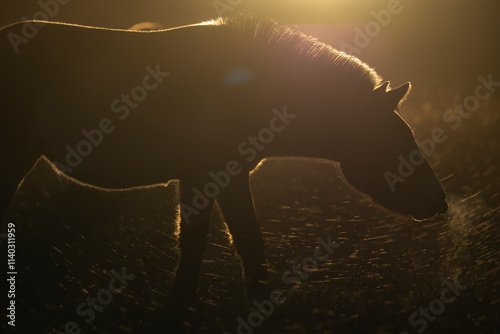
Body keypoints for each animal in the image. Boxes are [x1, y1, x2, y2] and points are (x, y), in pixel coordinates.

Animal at [0, 15, 446, 308]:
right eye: (395, 140)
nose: (438, 202)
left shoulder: (202, 180)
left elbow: (201, 244)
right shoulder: (217, 177)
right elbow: (244, 242)